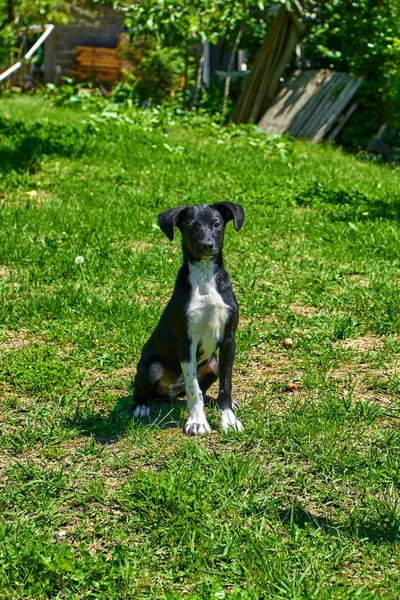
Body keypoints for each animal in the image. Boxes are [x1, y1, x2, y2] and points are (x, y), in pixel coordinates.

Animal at [133, 203, 244, 436]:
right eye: (192, 226)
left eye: (217, 224)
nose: (207, 245)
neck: (204, 277)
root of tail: (173, 390)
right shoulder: (186, 342)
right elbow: (194, 390)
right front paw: (197, 422)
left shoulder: (229, 340)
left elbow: (225, 385)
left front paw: (228, 419)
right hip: (150, 367)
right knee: (143, 390)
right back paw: (140, 406)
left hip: (212, 365)